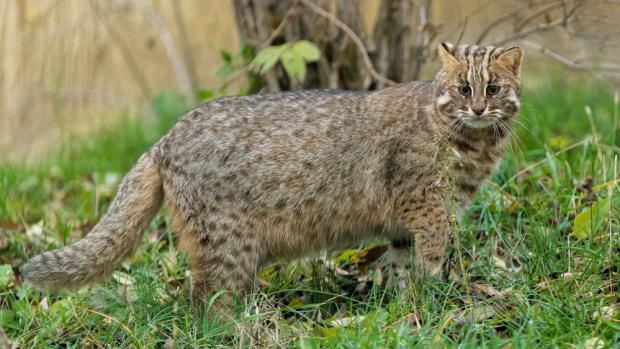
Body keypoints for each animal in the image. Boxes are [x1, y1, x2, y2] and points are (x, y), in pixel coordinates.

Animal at [21, 43, 520, 308]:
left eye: (494, 89)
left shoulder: (405, 225)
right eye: (464, 89)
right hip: (227, 247)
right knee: (207, 304)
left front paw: (404, 301)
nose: (479, 108)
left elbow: (400, 266)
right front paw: (435, 293)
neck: (470, 143)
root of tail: (164, 138)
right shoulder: (423, 205)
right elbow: (431, 254)